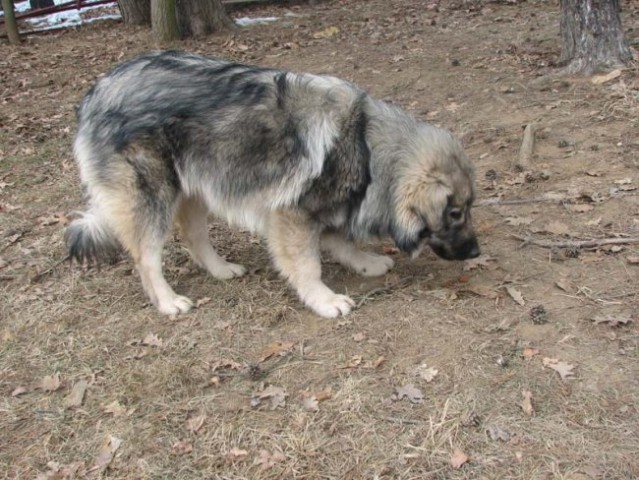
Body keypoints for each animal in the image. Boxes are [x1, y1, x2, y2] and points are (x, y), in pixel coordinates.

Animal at [69, 50, 480, 316]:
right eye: (455, 213)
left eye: (466, 209)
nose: (476, 252)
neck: (366, 147)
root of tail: (95, 93)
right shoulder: (292, 214)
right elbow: (308, 264)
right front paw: (324, 300)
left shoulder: (325, 206)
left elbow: (341, 241)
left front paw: (363, 262)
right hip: (153, 197)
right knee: (146, 257)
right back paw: (168, 302)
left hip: (198, 187)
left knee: (194, 238)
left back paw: (221, 270)